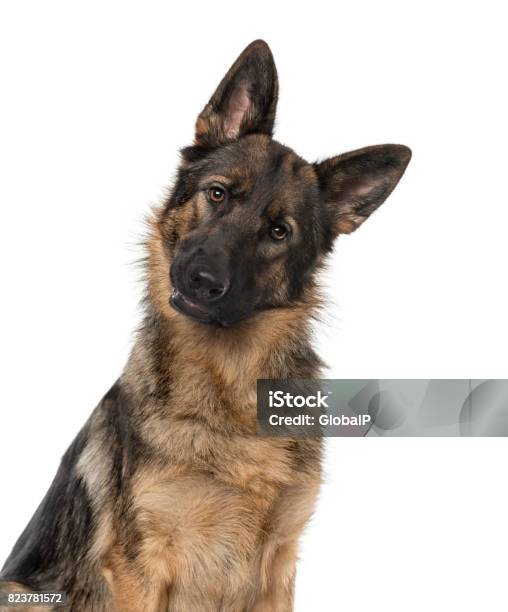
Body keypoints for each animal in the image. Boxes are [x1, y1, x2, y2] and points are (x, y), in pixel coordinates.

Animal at [0, 40, 408, 608]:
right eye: (217, 194)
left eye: (278, 231)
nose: (201, 280)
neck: (227, 383)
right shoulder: (140, 569)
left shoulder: (278, 569)